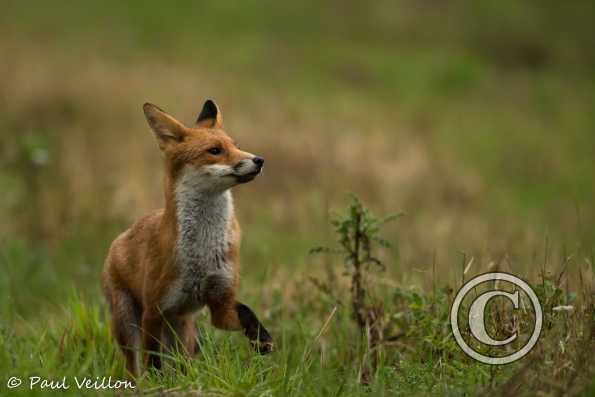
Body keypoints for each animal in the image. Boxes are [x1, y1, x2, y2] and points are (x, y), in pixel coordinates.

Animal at [102, 99, 274, 374]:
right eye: (215, 150)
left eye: (236, 146)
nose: (259, 160)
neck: (202, 253)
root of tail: (122, 236)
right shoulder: (153, 311)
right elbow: (153, 363)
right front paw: (157, 382)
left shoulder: (220, 303)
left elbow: (247, 311)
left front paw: (262, 339)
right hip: (128, 323)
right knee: (135, 367)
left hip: (184, 331)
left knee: (183, 364)